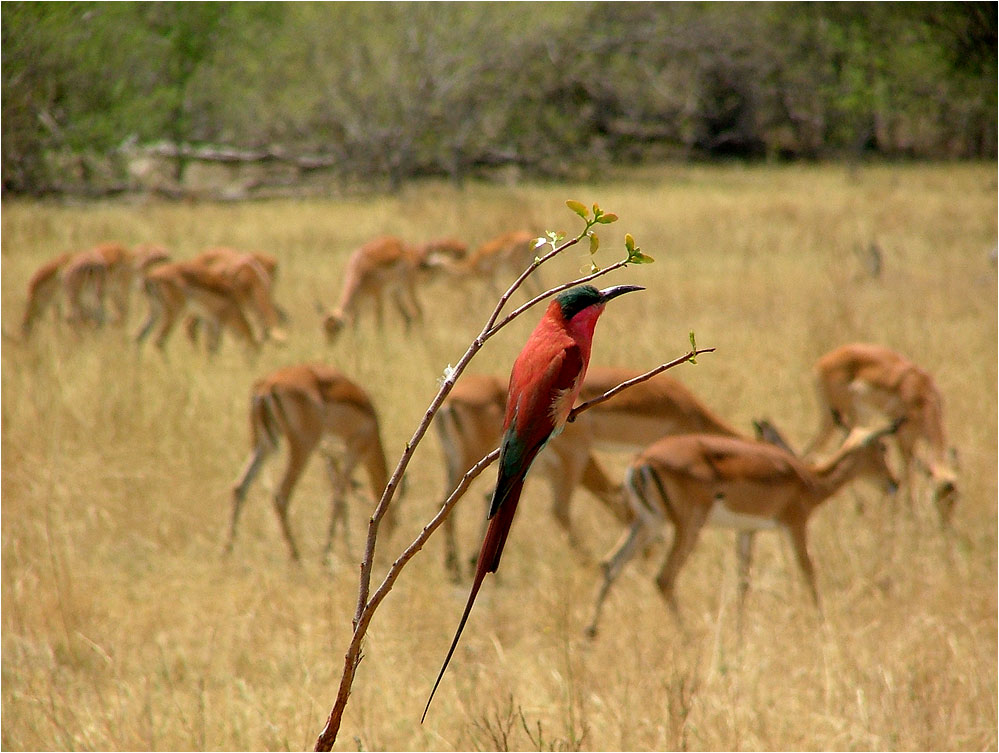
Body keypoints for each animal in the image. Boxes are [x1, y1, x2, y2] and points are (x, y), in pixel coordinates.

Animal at [225, 362, 392, 560]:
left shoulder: (330, 457)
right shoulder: (353, 455)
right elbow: (338, 497)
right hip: (302, 447)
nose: (390, 538)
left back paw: (227, 551)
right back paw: (296, 558)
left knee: (239, 487)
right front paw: (330, 555)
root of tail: (268, 384)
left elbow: (340, 498)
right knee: (280, 495)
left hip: (264, 445)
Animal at [584, 424, 908, 636]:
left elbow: (744, 581)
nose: (894, 483)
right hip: (688, 526)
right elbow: (808, 570)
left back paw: (590, 634)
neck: (810, 480)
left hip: (648, 523)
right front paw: (822, 625)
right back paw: (689, 639)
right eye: (882, 447)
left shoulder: (747, 531)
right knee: (664, 578)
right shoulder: (796, 524)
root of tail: (642, 461)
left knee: (610, 563)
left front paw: (740, 633)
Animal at [804, 342, 960, 524]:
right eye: (936, 496)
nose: (946, 524)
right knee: (813, 452)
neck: (922, 395)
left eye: (957, 497)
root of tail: (823, 361)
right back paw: (860, 507)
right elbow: (908, 476)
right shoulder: (903, 437)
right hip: (836, 418)